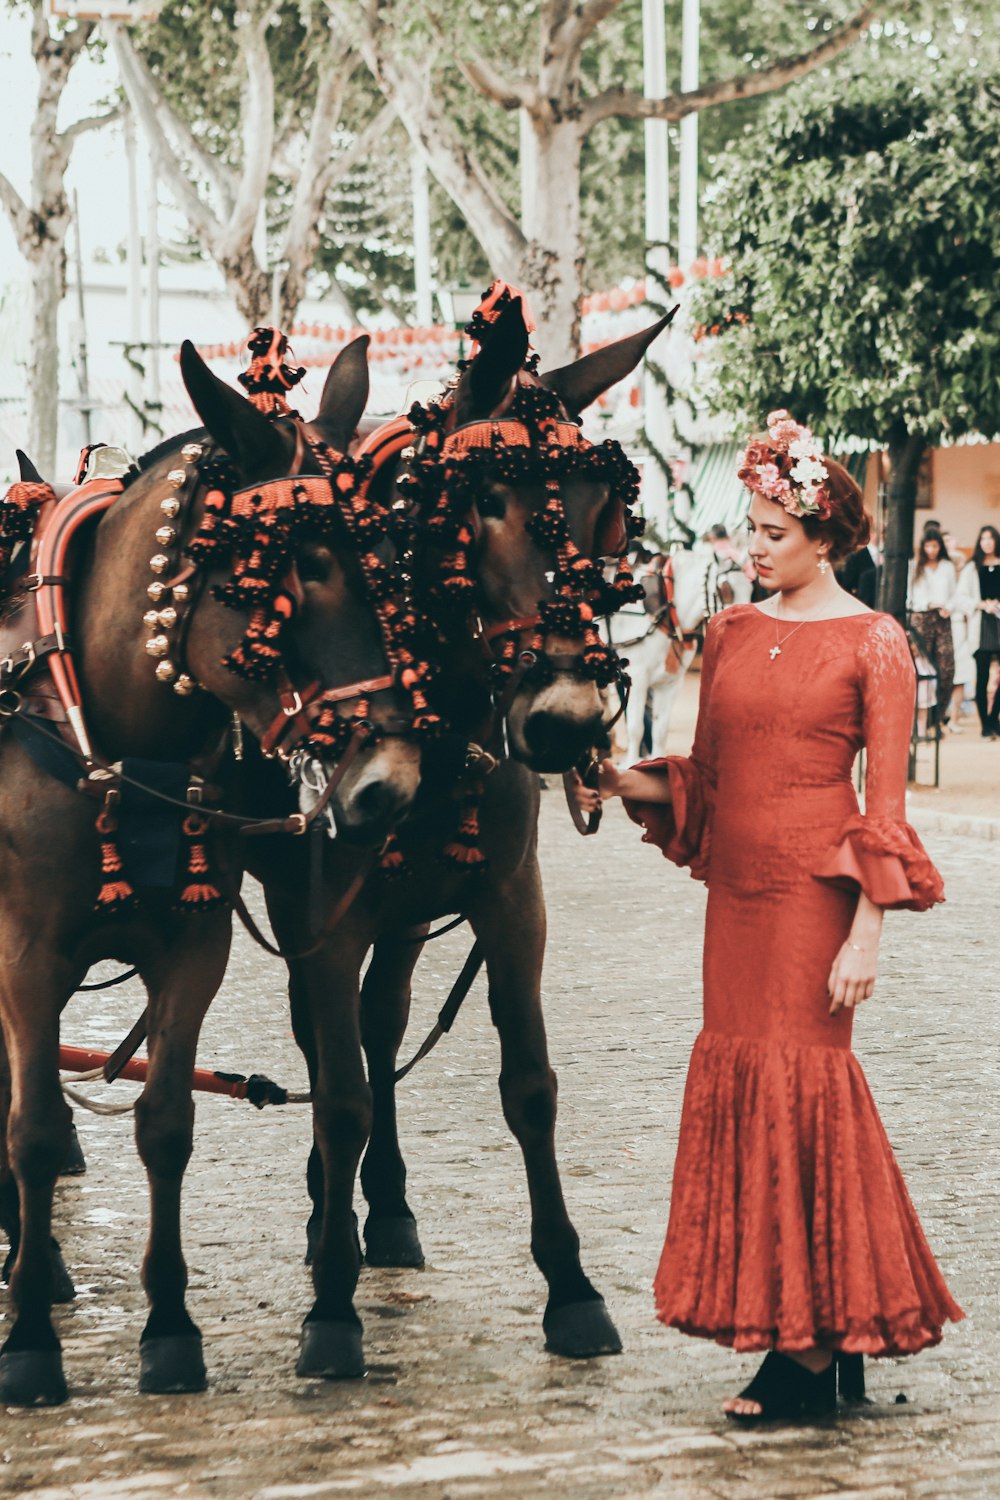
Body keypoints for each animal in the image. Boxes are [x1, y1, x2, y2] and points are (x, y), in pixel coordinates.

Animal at [611, 549, 749, 768]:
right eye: (725, 589)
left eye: (751, 588)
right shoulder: (638, 676)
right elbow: (636, 727)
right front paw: (632, 763)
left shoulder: (670, 682)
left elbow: (659, 731)